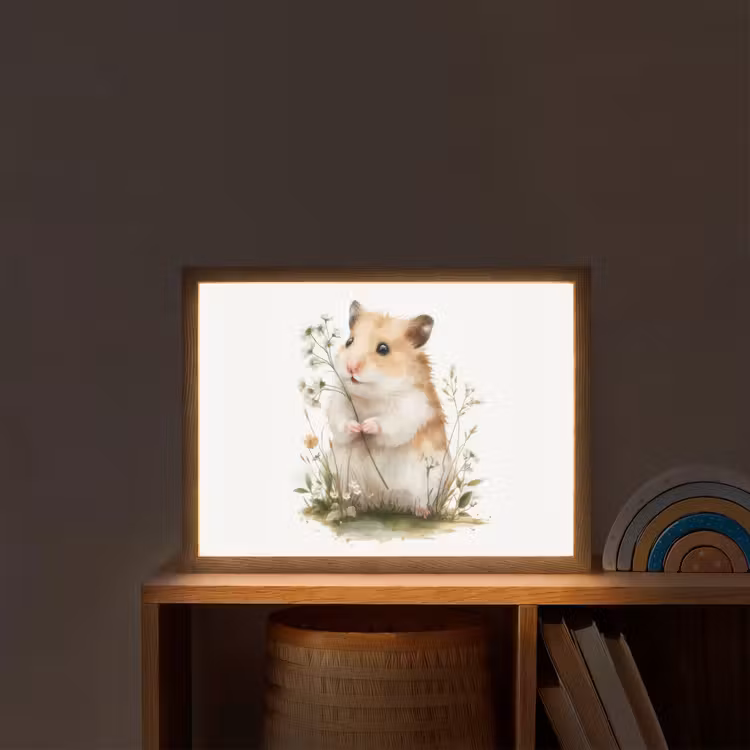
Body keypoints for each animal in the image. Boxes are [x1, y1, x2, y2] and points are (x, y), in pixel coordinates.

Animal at [325, 300, 452, 513]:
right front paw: (357, 427)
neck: (372, 395)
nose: (351, 367)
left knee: (418, 500)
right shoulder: (338, 403)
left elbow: (387, 424)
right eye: (349, 341)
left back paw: (423, 512)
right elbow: (342, 422)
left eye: (383, 349)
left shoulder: (409, 409)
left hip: (426, 481)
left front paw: (366, 426)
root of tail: (382, 502)